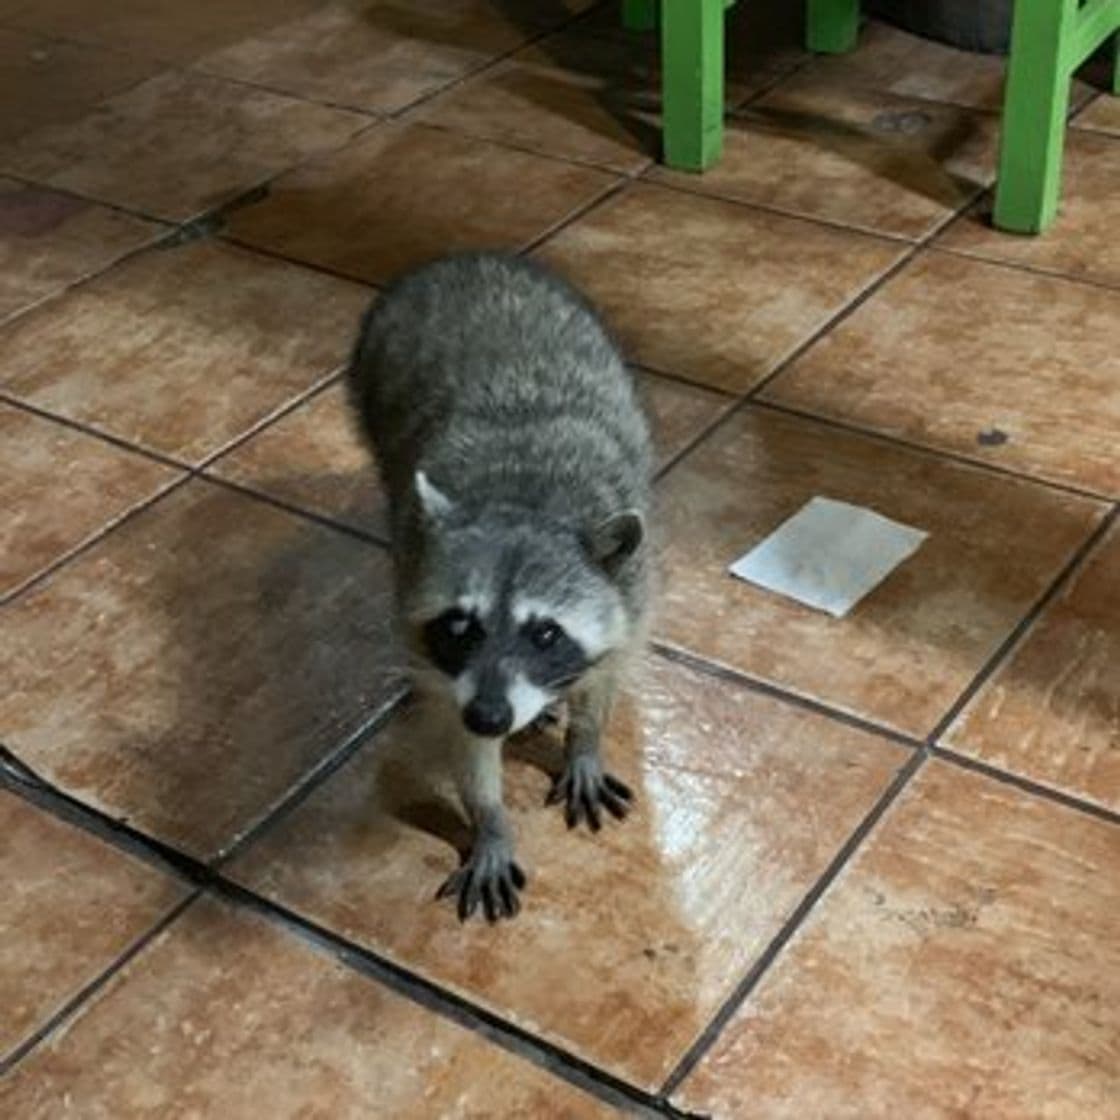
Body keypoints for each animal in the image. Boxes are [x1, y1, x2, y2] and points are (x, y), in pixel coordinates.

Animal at [344, 254, 654, 927]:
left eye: (545, 633)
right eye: (460, 626)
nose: (491, 716)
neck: (523, 502)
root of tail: (460, 258)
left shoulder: (634, 592)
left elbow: (604, 676)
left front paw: (584, 742)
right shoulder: (444, 656)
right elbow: (463, 744)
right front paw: (489, 823)